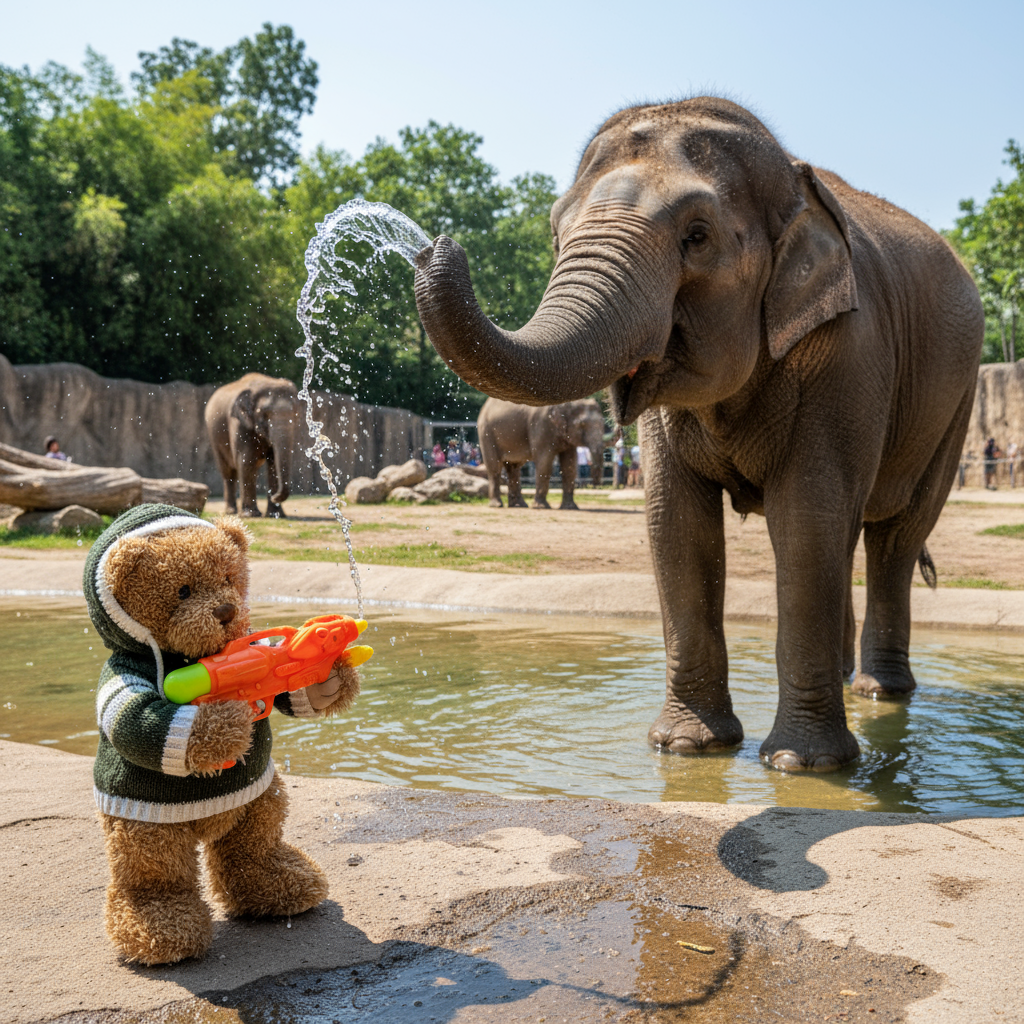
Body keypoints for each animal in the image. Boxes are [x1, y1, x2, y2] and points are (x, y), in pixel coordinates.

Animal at [205, 373, 301, 518]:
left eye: (295, 414)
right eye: (265, 414)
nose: (275, 496)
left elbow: (273, 463)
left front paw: (275, 515)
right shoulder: (239, 423)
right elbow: (247, 460)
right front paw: (251, 515)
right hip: (213, 435)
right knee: (228, 471)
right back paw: (231, 512)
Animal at [478, 397, 606, 509]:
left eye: (603, 423)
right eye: (582, 424)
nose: (596, 485)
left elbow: (569, 466)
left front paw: (570, 507)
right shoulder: (541, 425)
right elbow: (545, 463)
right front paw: (541, 507)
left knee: (514, 469)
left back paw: (519, 505)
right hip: (486, 433)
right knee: (494, 468)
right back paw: (497, 505)